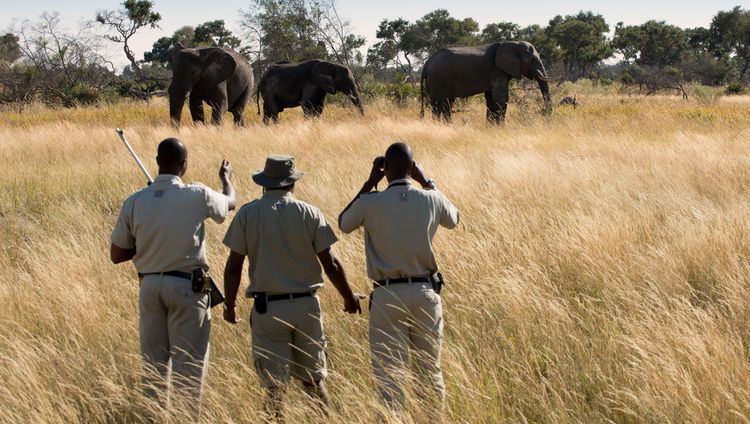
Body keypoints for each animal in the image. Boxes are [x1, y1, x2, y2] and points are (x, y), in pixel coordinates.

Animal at [420, 40, 556, 123]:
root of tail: (427, 63)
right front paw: (500, 127)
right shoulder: (497, 70)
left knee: (447, 103)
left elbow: (491, 98)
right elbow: (501, 98)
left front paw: (490, 127)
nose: (545, 116)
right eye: (533, 60)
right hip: (438, 80)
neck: (512, 43)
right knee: (440, 103)